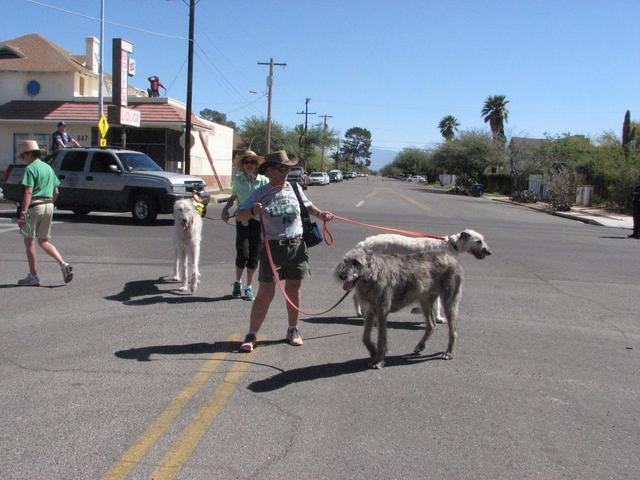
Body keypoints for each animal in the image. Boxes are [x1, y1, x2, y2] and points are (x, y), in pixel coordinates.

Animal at [336, 248, 464, 368]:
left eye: (356, 262)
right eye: (345, 260)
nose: (341, 276)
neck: (373, 275)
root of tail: (453, 258)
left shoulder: (382, 311)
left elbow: (381, 338)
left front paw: (379, 360)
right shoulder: (370, 311)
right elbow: (365, 337)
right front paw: (373, 351)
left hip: (449, 301)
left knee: (453, 330)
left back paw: (449, 352)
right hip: (425, 301)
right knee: (432, 325)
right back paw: (420, 346)